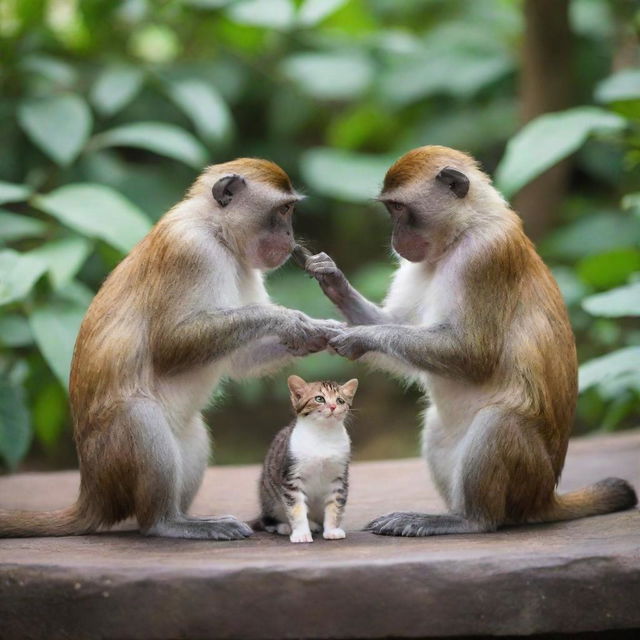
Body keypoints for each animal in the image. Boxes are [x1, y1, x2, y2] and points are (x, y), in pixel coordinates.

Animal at [0, 158, 340, 536]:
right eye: (283, 210)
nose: (290, 237)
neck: (216, 230)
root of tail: (92, 493)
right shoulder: (191, 251)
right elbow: (170, 344)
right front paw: (293, 321)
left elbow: (240, 360)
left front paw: (320, 333)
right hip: (112, 458)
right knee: (139, 415)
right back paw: (167, 523)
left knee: (193, 427)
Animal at [251, 376, 360, 544]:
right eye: (319, 398)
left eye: (340, 400)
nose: (333, 406)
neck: (323, 435)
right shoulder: (291, 478)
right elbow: (296, 508)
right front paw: (301, 533)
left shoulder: (339, 478)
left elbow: (335, 505)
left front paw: (332, 530)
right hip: (269, 498)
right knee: (266, 520)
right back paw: (284, 526)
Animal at [302, 144, 636, 536]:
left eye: (399, 208)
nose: (395, 238)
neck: (462, 231)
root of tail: (545, 497)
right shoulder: (417, 263)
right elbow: (398, 327)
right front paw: (332, 280)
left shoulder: (485, 256)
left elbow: (473, 354)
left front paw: (357, 336)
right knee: (435, 423)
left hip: (527, 475)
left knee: (499, 421)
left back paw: (469, 519)